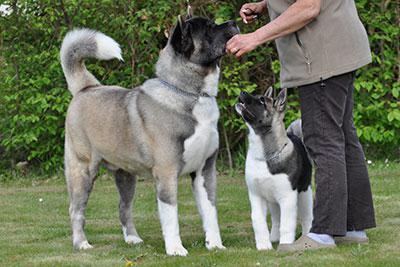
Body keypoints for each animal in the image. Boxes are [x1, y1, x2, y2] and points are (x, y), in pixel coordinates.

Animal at [61, 16, 239, 258]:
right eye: (208, 28)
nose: (234, 21)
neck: (188, 93)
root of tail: (86, 88)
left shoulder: (205, 171)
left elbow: (210, 212)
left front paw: (215, 245)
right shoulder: (167, 173)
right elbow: (171, 216)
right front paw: (175, 249)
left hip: (126, 176)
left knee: (123, 207)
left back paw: (132, 239)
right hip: (82, 170)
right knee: (76, 209)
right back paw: (81, 243)